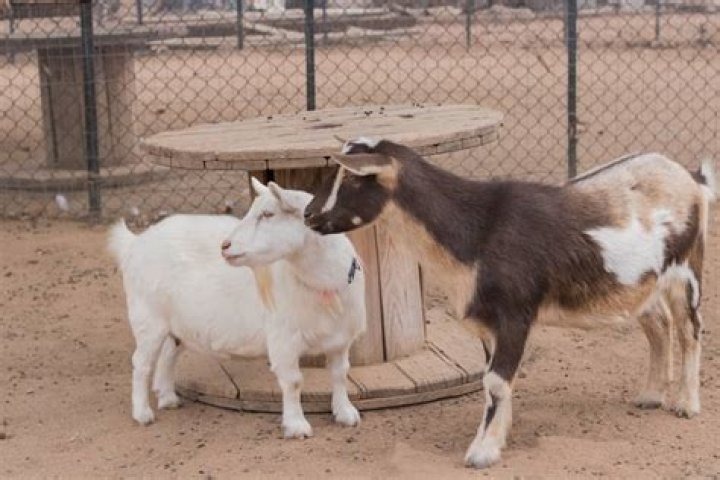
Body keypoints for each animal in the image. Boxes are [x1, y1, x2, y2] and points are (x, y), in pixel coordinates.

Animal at [108, 179, 366, 438]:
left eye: (268, 214)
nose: (225, 246)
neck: (324, 285)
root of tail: (135, 243)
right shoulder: (283, 340)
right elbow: (293, 382)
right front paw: (296, 426)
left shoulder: (340, 340)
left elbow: (340, 373)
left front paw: (345, 413)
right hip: (148, 318)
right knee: (141, 363)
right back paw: (142, 413)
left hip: (176, 324)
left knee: (167, 355)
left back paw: (168, 398)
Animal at [303, 137, 716, 468]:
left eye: (352, 179)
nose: (308, 215)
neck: (478, 229)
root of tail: (691, 178)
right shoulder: (489, 324)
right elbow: (495, 382)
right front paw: (500, 436)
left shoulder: (516, 314)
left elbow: (497, 381)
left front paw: (482, 452)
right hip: (643, 284)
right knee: (659, 325)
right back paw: (650, 396)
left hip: (687, 269)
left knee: (690, 329)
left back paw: (686, 404)